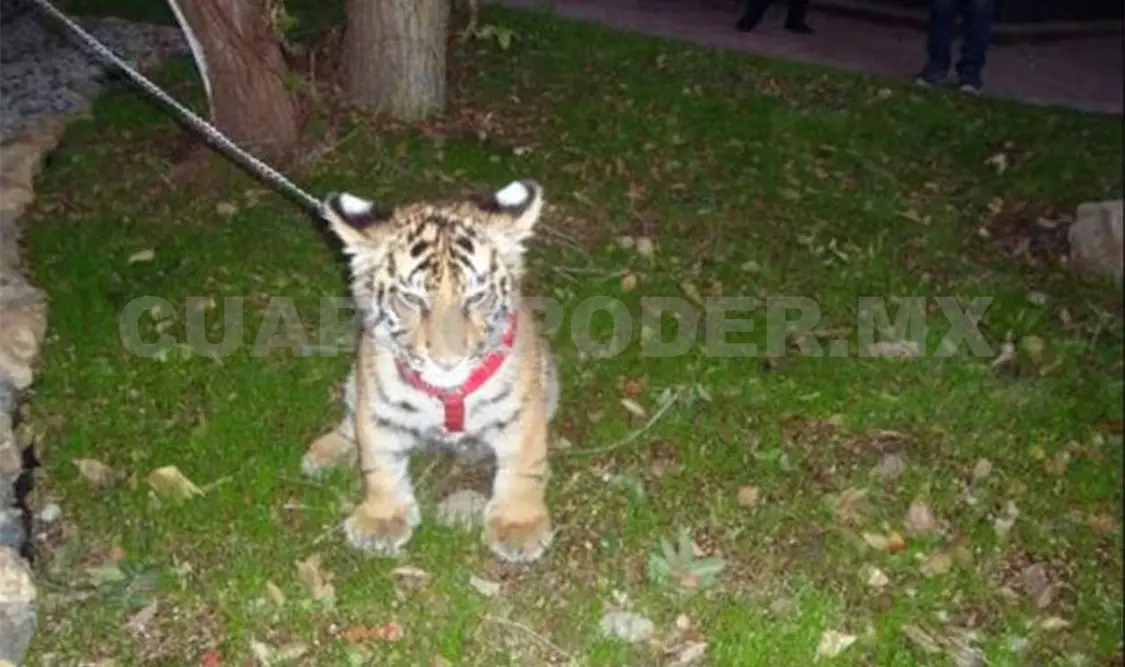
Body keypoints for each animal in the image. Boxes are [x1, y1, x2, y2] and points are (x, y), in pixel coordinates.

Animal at [301, 178, 560, 564]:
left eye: (477, 297)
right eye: (412, 300)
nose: (447, 361)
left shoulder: (523, 411)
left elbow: (523, 466)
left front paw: (519, 526)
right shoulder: (376, 406)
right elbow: (379, 464)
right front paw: (382, 520)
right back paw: (324, 454)